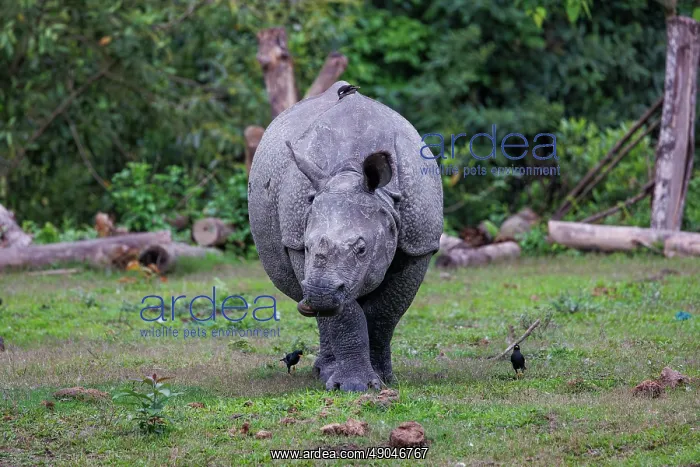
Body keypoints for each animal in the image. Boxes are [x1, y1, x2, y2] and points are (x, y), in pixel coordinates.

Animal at [248, 81, 443, 391]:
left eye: (362, 249)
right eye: (307, 245)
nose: (319, 294)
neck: (349, 173)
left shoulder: (419, 243)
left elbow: (385, 312)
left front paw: (383, 379)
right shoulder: (298, 241)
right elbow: (345, 316)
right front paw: (353, 386)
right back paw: (326, 373)